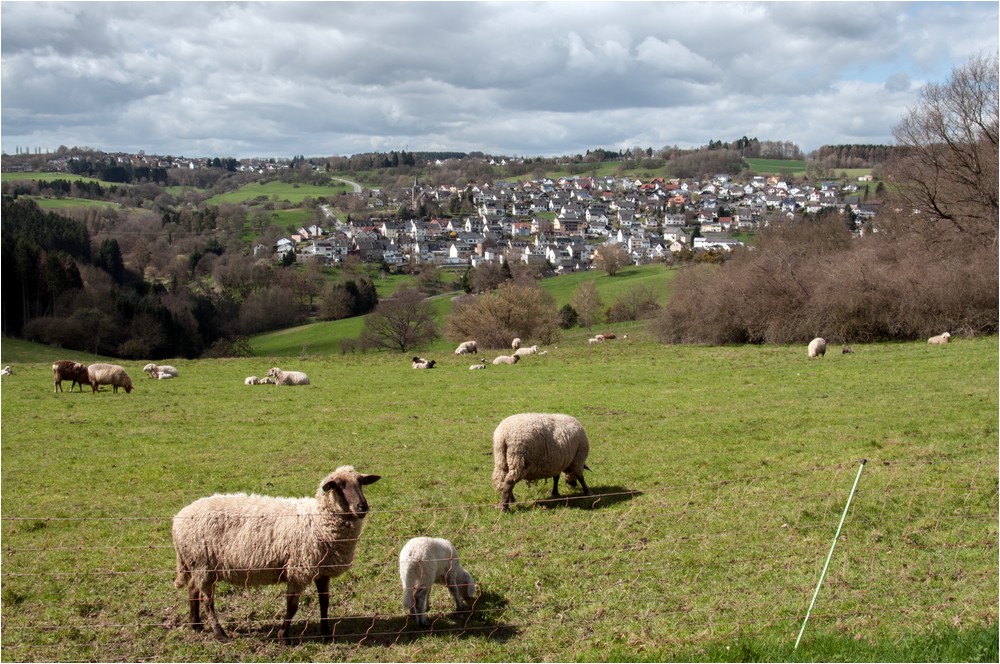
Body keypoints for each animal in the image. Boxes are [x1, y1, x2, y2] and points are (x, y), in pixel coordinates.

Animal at [171, 466, 378, 644]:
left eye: (361, 482)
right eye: (339, 485)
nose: (362, 507)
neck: (318, 519)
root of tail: (178, 518)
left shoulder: (323, 570)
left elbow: (325, 602)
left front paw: (327, 634)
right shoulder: (298, 569)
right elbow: (292, 606)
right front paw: (284, 637)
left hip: (197, 564)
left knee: (193, 589)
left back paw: (196, 624)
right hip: (203, 564)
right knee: (208, 601)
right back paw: (220, 634)